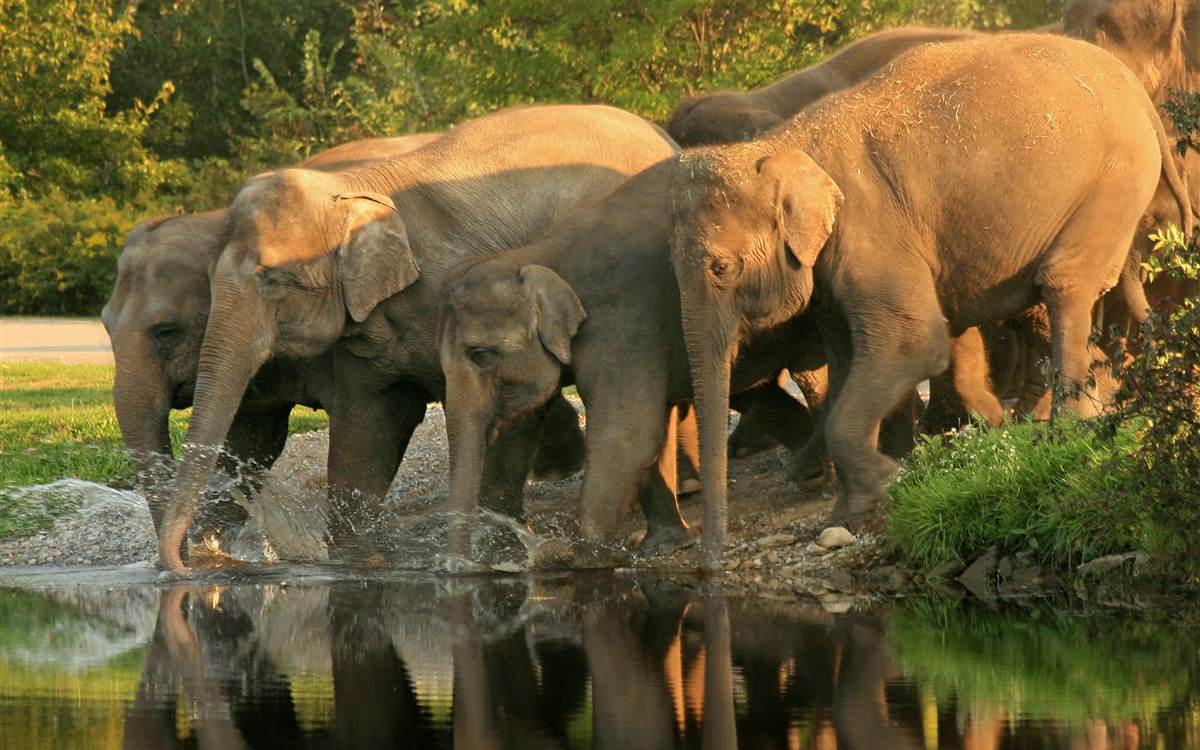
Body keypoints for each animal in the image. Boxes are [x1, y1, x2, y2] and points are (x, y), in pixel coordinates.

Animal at [156, 104, 676, 574]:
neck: (360, 188)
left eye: (272, 279)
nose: (186, 567)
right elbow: (370, 425)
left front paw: (495, 557)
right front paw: (356, 559)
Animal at [669, 34, 1182, 567]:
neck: (782, 141)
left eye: (721, 268)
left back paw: (1068, 430)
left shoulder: (871, 230)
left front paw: (887, 483)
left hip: (1115, 181)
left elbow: (912, 343)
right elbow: (847, 359)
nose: (709, 565)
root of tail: (1133, 85)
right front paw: (852, 510)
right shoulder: (832, 270)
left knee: (1064, 284)